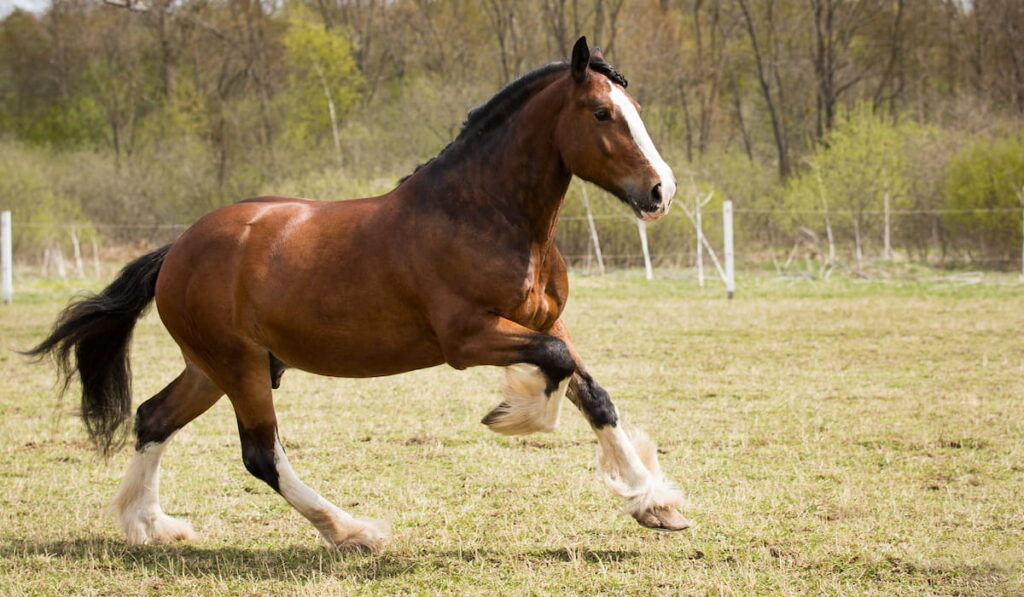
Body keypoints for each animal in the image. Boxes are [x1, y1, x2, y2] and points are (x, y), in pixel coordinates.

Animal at [29, 36, 688, 552]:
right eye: (601, 113)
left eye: (633, 108)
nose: (661, 191)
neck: (481, 214)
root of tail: (177, 249)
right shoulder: (468, 338)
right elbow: (553, 370)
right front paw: (514, 413)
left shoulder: (546, 322)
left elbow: (591, 391)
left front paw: (654, 504)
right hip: (237, 366)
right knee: (260, 454)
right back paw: (355, 532)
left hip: (212, 367)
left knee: (154, 417)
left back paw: (151, 526)